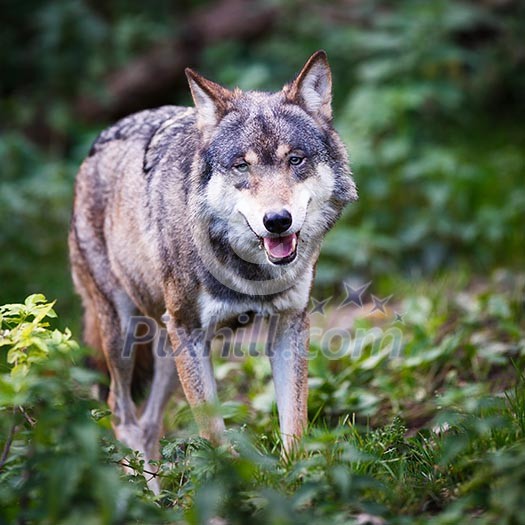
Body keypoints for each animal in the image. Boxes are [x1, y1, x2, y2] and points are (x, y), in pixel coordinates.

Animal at [68, 51, 356, 490]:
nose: (278, 221)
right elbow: (215, 434)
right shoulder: (189, 332)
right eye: (241, 166)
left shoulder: (289, 326)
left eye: (295, 160)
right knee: (121, 413)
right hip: (127, 334)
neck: (249, 271)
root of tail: (92, 151)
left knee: (149, 426)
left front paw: (295, 485)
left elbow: (295, 427)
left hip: (167, 349)